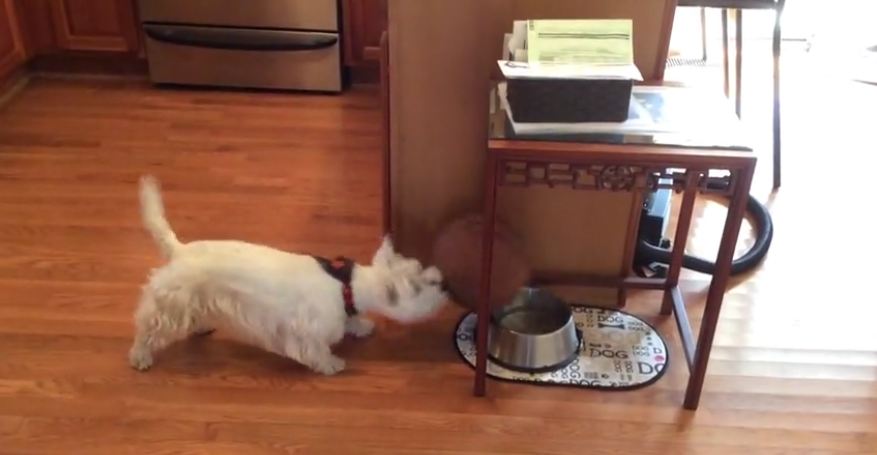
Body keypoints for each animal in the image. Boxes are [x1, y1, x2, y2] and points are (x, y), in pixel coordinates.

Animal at [126, 176, 448, 376]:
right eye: (420, 284)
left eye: (420, 269)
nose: (444, 283)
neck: (347, 285)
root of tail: (179, 250)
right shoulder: (307, 330)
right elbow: (316, 350)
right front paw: (332, 364)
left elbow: (354, 320)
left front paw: (361, 326)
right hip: (168, 305)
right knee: (148, 330)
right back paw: (140, 357)